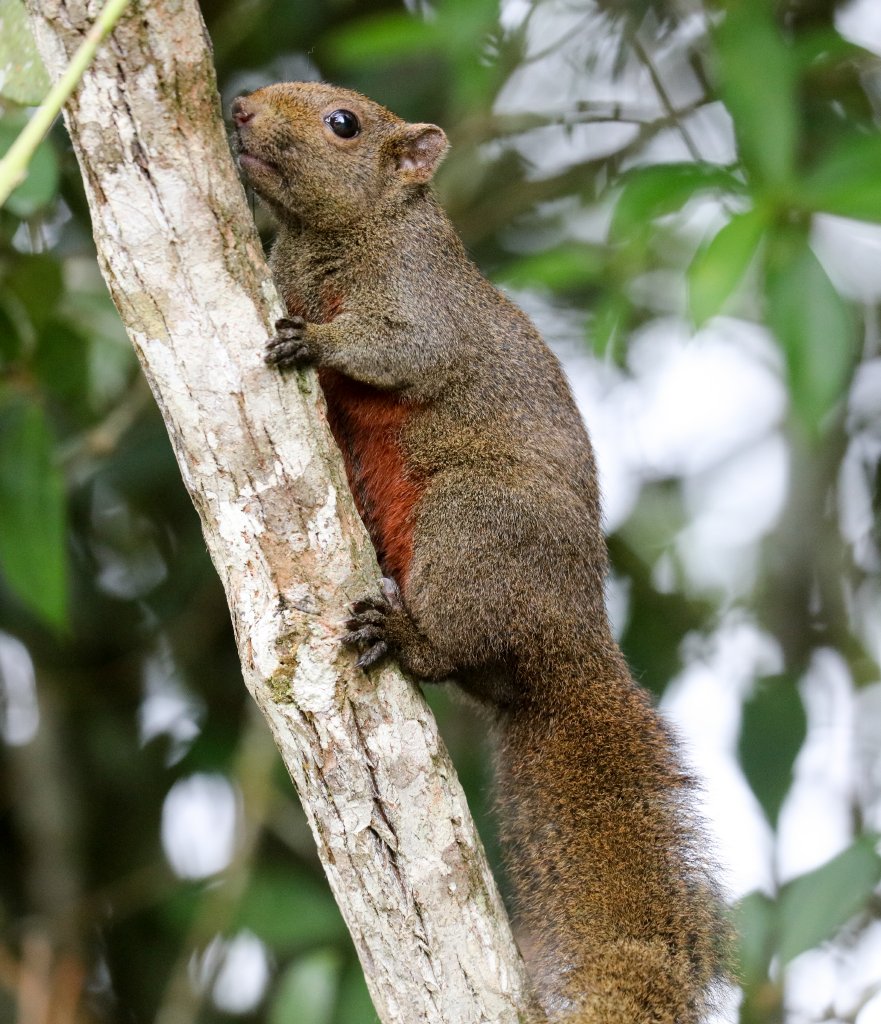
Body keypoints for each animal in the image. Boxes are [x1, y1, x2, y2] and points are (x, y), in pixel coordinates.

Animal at [231, 81, 729, 1023]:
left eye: (344, 123)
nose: (238, 107)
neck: (336, 239)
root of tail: (571, 636)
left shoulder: (422, 303)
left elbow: (396, 347)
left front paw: (314, 342)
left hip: (472, 523)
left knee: (452, 639)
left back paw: (405, 634)